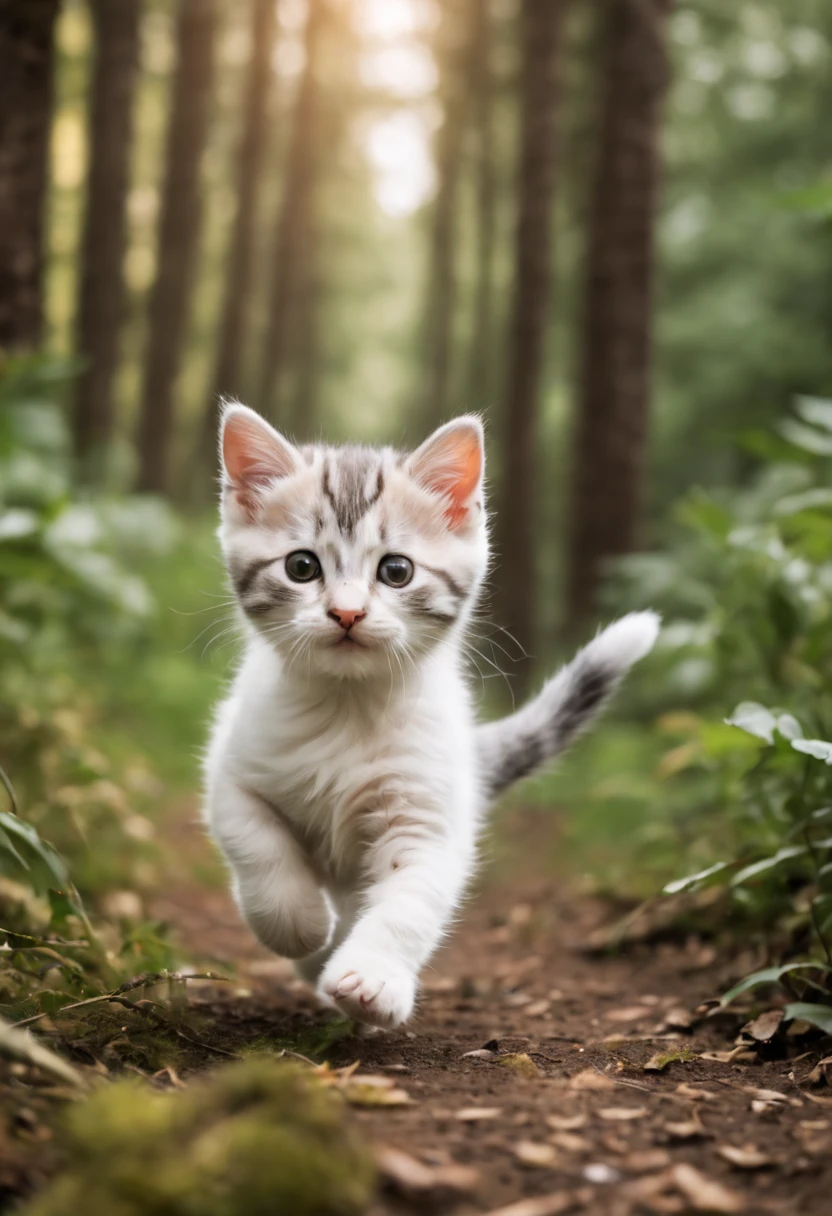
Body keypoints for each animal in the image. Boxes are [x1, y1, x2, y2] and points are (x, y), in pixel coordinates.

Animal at [201, 406, 656, 1026]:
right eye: (301, 566)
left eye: (396, 571)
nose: (346, 612)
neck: (349, 706)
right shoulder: (232, 769)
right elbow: (256, 844)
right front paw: (301, 928)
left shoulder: (430, 814)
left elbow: (410, 901)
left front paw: (370, 978)